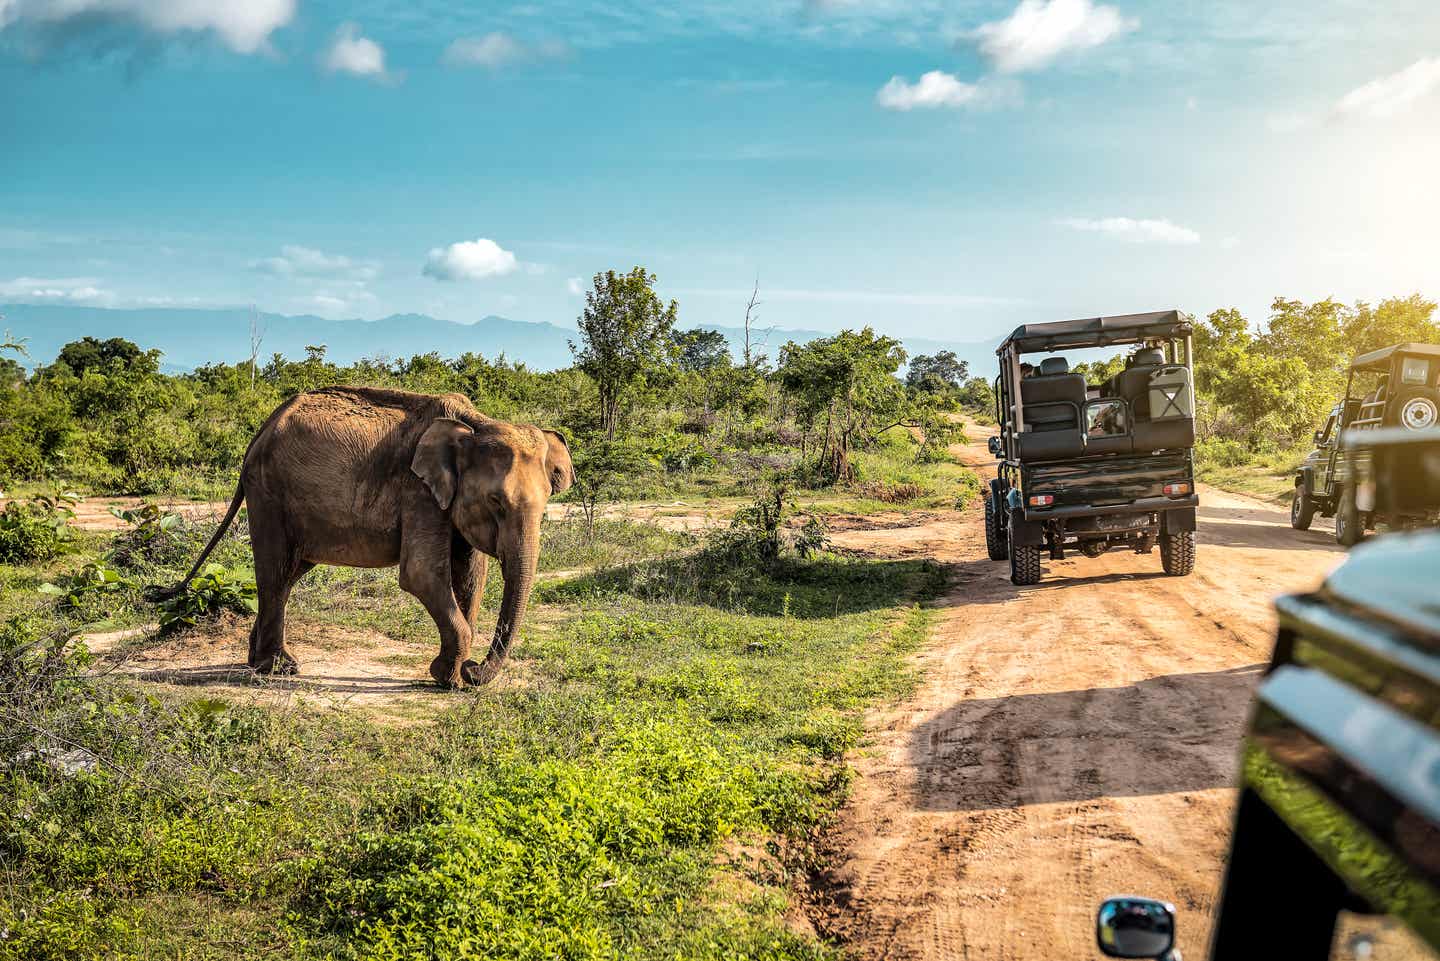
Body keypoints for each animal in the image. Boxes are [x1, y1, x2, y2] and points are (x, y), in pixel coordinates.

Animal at [160, 386, 576, 688]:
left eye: (547, 501)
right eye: (495, 502)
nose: (477, 669)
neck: (474, 424)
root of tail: (262, 428)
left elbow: (472, 576)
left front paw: (455, 678)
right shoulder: (418, 491)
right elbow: (421, 574)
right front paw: (449, 678)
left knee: (290, 573)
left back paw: (264, 663)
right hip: (268, 493)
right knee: (276, 572)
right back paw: (276, 669)